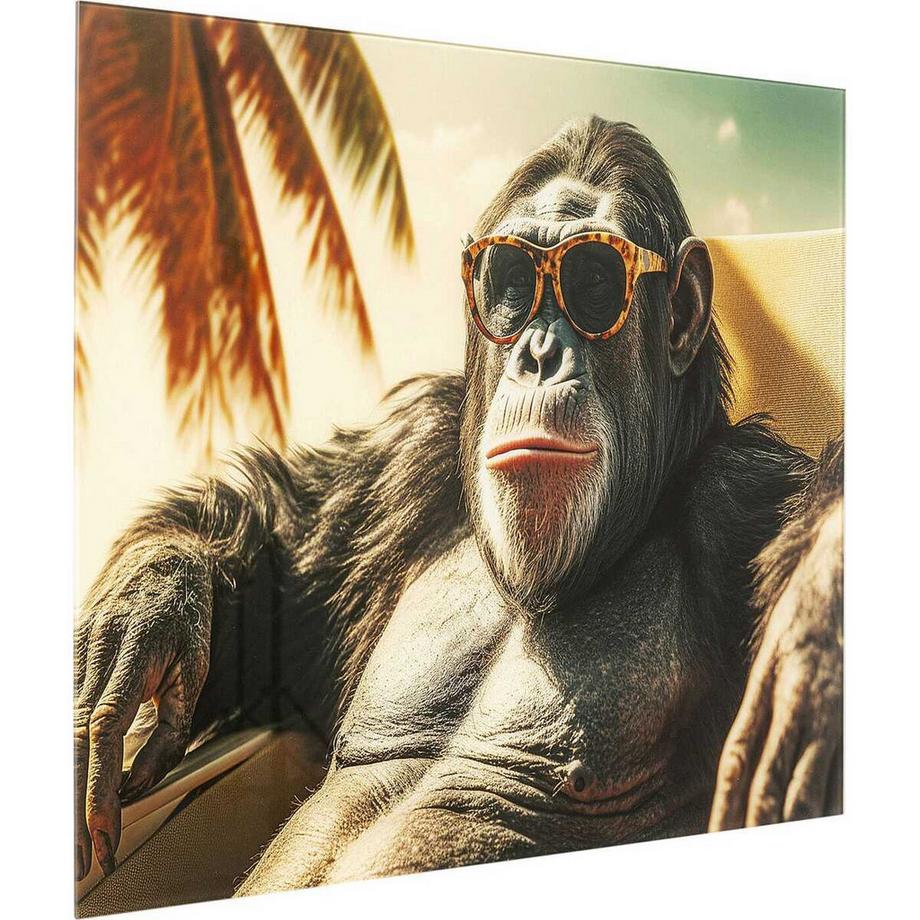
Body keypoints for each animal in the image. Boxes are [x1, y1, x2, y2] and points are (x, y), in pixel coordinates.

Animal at [74, 117, 843, 890]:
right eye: (509, 282)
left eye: (595, 280)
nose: (538, 351)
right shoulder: (408, 460)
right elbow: (288, 554)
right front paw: (145, 611)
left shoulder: (745, 501)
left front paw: (815, 626)